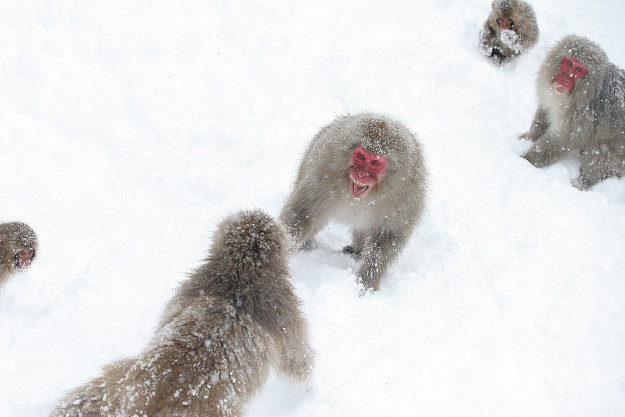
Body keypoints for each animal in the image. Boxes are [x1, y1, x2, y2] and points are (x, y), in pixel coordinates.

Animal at [50, 210, 312, 416]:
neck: (241, 269)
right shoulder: (284, 310)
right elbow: (297, 361)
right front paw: (306, 391)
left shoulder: (187, 290)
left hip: (116, 384)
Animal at [280, 112, 426, 290]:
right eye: (361, 156)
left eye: (375, 163)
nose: (361, 174)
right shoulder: (324, 170)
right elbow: (303, 212)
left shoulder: (408, 193)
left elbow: (388, 237)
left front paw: (367, 282)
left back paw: (357, 250)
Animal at [520, 35, 624, 188]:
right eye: (569, 63)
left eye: (579, 70)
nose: (564, 79)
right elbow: (544, 113)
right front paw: (528, 137)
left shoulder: (582, 115)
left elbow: (563, 139)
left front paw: (527, 159)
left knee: (601, 149)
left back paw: (584, 182)